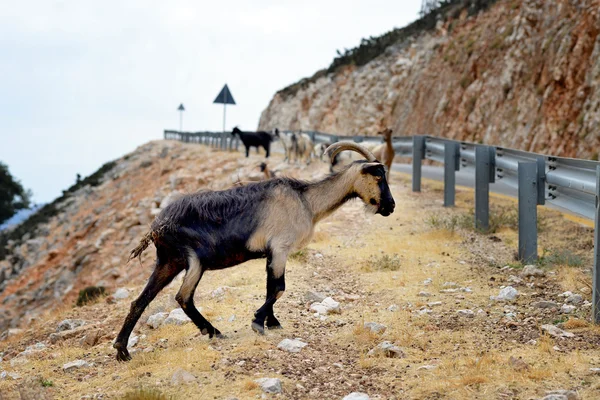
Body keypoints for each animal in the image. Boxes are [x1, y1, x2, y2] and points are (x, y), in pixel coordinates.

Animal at [113, 142, 394, 360]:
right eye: (379, 176)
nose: (390, 206)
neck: (306, 201)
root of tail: (156, 227)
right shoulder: (280, 247)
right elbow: (279, 288)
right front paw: (258, 321)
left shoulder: (272, 253)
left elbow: (270, 287)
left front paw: (272, 322)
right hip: (194, 260)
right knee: (183, 297)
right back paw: (212, 331)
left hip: (168, 261)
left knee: (141, 300)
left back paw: (122, 350)